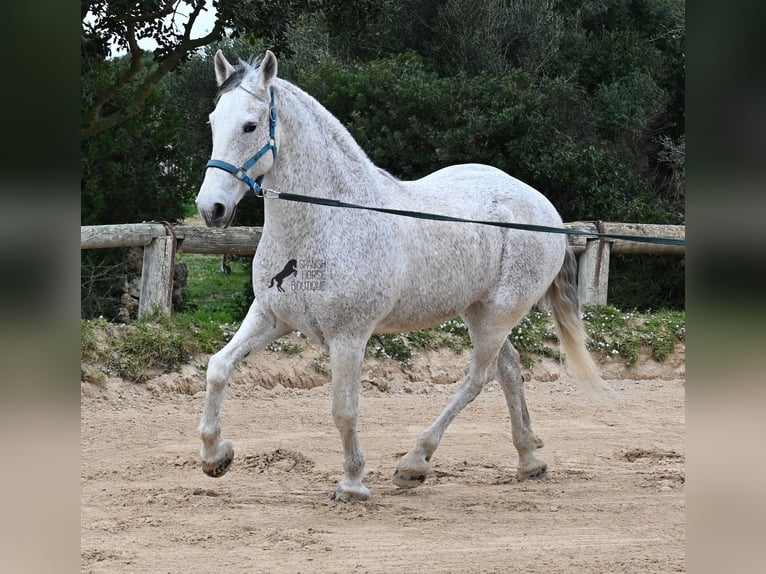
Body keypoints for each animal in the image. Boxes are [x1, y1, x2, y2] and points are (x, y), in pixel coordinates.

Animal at [198, 50, 612, 504]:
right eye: (213, 121)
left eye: (250, 126)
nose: (211, 209)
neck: (326, 220)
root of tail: (546, 210)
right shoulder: (271, 317)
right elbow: (218, 368)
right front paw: (215, 457)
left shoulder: (348, 336)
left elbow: (344, 410)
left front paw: (353, 483)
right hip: (481, 313)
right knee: (508, 370)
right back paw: (528, 460)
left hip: (498, 315)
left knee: (477, 378)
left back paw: (414, 463)